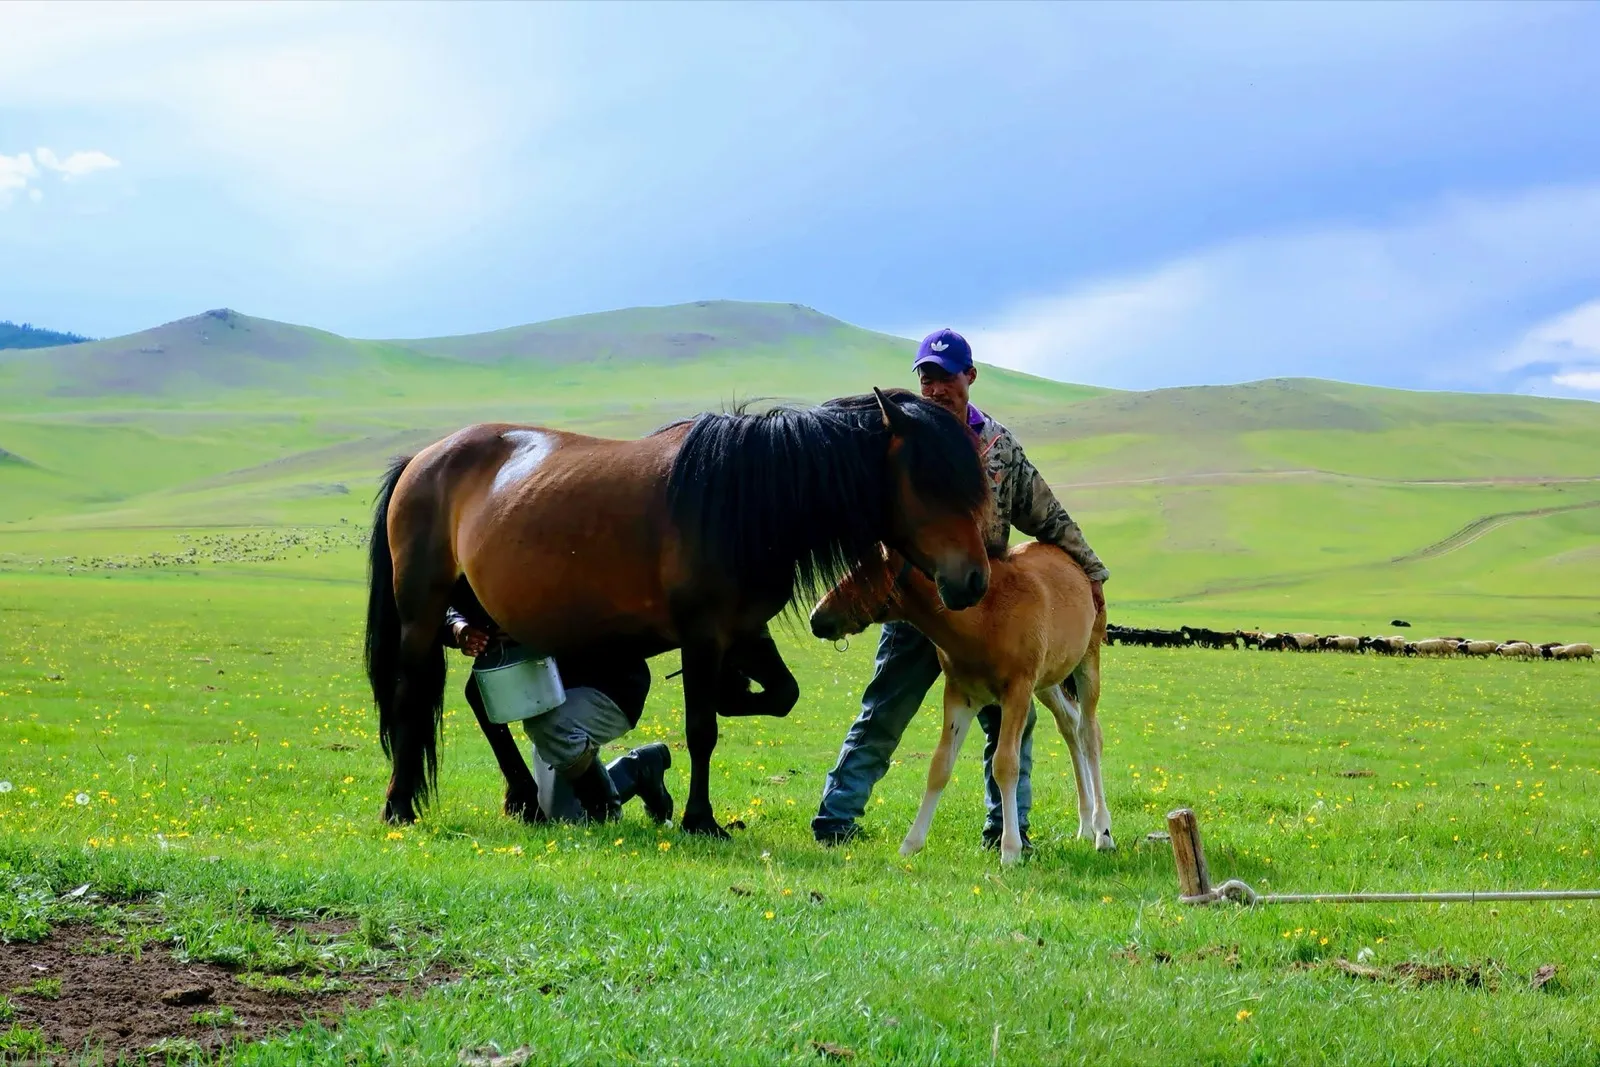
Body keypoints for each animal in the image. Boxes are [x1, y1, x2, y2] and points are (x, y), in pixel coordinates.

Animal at [365, 388, 993, 837]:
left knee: (480, 696)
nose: (974, 579)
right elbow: (702, 728)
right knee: (411, 695)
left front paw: (730, 699)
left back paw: (530, 799)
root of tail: (422, 458)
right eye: (932, 482)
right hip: (423, 614)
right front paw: (701, 819)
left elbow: (779, 696)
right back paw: (399, 807)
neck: (745, 500)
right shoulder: (703, 634)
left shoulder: (745, 631)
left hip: (492, 618)